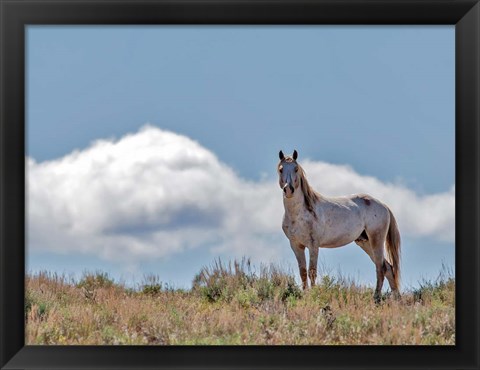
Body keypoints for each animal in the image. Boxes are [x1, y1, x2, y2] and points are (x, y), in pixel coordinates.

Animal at [278, 149, 402, 302]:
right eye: (281, 169)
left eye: (296, 168)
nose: (288, 190)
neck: (299, 214)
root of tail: (383, 205)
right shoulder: (296, 245)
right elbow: (303, 271)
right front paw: (305, 295)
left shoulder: (313, 245)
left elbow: (312, 271)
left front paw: (313, 295)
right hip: (365, 242)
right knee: (389, 268)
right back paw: (397, 299)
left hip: (376, 241)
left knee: (381, 268)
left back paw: (376, 298)